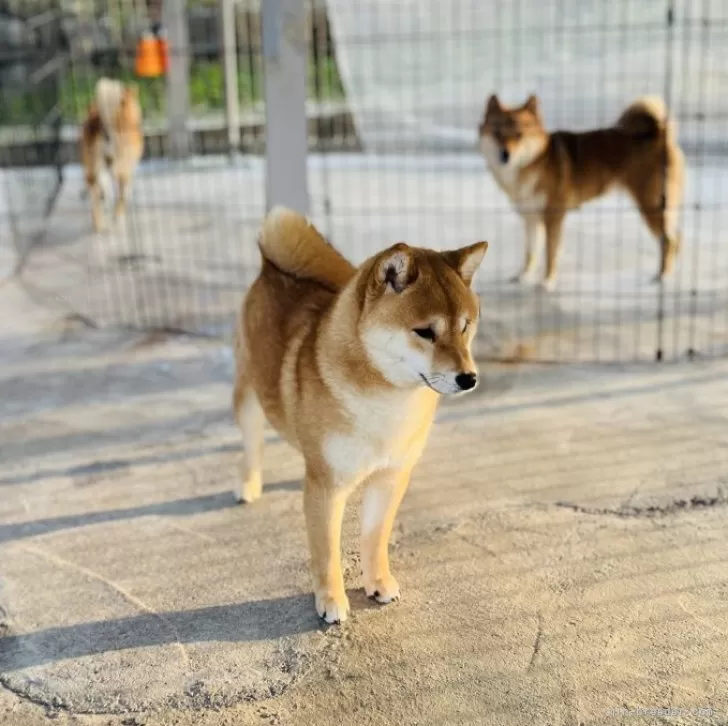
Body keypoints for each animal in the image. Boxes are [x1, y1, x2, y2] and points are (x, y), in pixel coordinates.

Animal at [80, 77, 143, 232]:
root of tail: (104, 126)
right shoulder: (127, 168)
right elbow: (123, 195)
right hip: (121, 167)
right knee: (116, 193)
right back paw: (116, 219)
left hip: (93, 165)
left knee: (97, 190)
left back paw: (99, 224)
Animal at [233, 206, 486, 624]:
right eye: (424, 332)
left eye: (466, 327)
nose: (468, 378)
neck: (387, 403)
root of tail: (271, 267)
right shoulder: (326, 487)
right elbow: (326, 552)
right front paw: (331, 600)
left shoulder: (390, 476)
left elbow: (374, 537)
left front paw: (378, 582)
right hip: (249, 393)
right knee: (252, 442)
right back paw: (248, 485)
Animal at [478, 94, 684, 290]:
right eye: (497, 133)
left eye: (519, 135)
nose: (505, 155)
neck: (535, 162)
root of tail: (660, 133)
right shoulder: (531, 219)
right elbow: (531, 252)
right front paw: (524, 276)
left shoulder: (553, 217)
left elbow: (550, 253)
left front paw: (547, 282)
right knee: (676, 238)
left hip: (650, 206)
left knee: (669, 241)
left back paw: (663, 276)